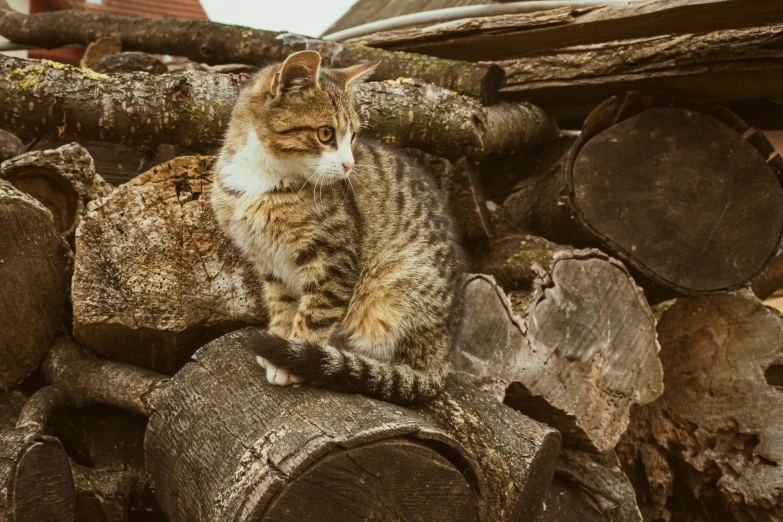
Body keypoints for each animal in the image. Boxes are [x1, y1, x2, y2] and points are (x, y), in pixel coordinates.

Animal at [210, 49, 466, 402]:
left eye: (353, 136)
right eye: (326, 133)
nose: (349, 164)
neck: (261, 180)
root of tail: (444, 358)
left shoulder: (336, 260)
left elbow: (316, 312)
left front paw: (293, 357)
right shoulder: (269, 262)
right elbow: (281, 303)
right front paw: (280, 339)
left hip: (392, 295)